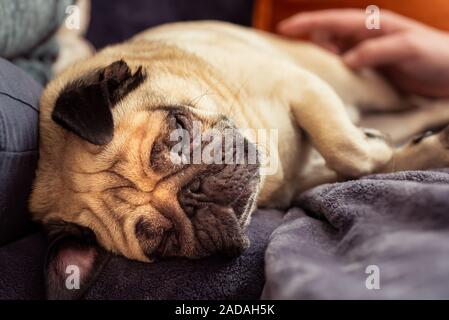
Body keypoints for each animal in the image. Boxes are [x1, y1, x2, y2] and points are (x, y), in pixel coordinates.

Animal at [29, 21, 448, 298]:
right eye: (161, 241)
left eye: (177, 130)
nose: (194, 193)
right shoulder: (303, 175)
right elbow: (352, 161)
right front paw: (407, 151)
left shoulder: (301, 86)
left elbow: (345, 147)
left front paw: (380, 146)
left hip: (355, 79)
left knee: (411, 103)